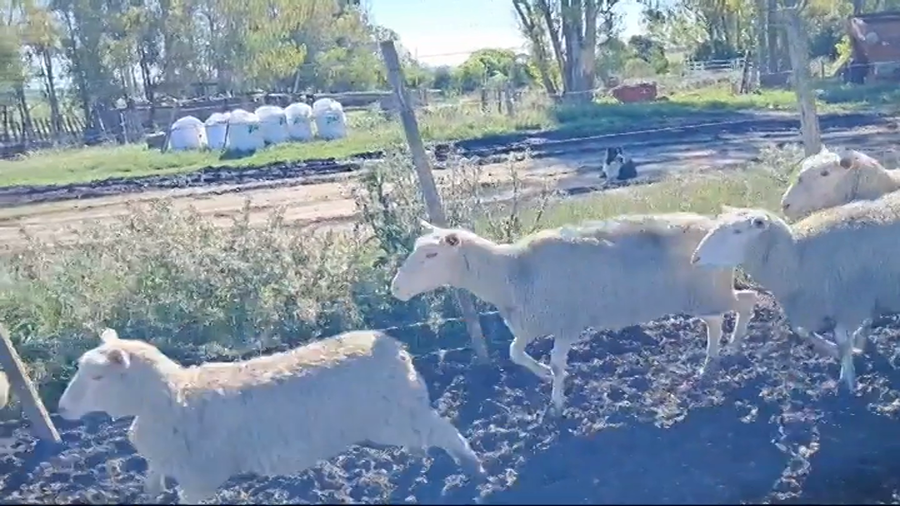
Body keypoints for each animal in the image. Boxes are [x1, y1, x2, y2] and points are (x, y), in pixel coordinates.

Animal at [57, 328, 483, 504]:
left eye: (97, 376)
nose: (61, 409)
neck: (173, 397)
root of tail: (395, 347)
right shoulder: (167, 463)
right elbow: (151, 483)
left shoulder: (199, 479)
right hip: (397, 416)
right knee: (423, 438)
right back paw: (418, 465)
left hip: (396, 413)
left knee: (444, 431)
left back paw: (473, 469)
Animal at [391, 217, 759, 415]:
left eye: (432, 254)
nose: (396, 289)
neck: (512, 271)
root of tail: (712, 225)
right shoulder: (532, 321)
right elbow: (514, 352)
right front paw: (540, 374)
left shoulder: (567, 321)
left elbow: (556, 363)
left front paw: (556, 404)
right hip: (700, 296)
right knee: (716, 321)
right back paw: (710, 363)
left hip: (709, 292)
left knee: (747, 302)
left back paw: (732, 349)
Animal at [690, 199, 900, 392]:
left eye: (737, 231)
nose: (695, 258)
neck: (797, 257)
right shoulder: (811, 304)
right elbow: (804, 332)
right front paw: (845, 350)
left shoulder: (851, 302)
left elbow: (842, 340)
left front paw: (847, 380)